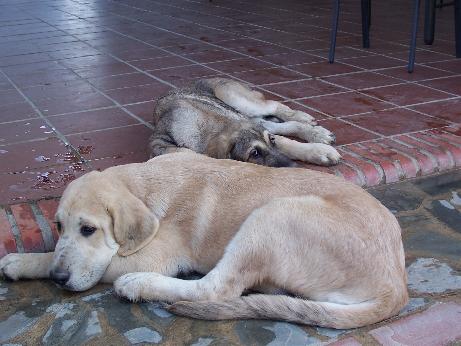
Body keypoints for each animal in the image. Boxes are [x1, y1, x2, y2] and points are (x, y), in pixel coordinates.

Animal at [1, 153, 408, 328]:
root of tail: (396, 285)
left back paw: (138, 286)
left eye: (89, 229)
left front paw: (22, 261)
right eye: (57, 226)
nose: (59, 279)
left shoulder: (149, 255)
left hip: (273, 215)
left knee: (215, 289)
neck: (143, 185)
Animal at [149, 77, 340, 167]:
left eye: (271, 141)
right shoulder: (159, 144)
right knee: (280, 124)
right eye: (254, 154)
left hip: (237, 99)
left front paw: (320, 152)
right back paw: (314, 131)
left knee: (274, 106)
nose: (294, 168)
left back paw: (306, 121)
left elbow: (288, 143)